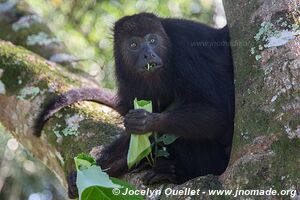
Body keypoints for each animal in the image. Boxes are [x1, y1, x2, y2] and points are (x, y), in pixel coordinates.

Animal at [34, 12, 234, 198]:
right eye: (133, 45)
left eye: (152, 40)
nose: (148, 54)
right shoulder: (125, 74)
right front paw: (94, 170)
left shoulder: (185, 49)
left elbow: (214, 113)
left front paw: (147, 121)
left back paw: (171, 172)